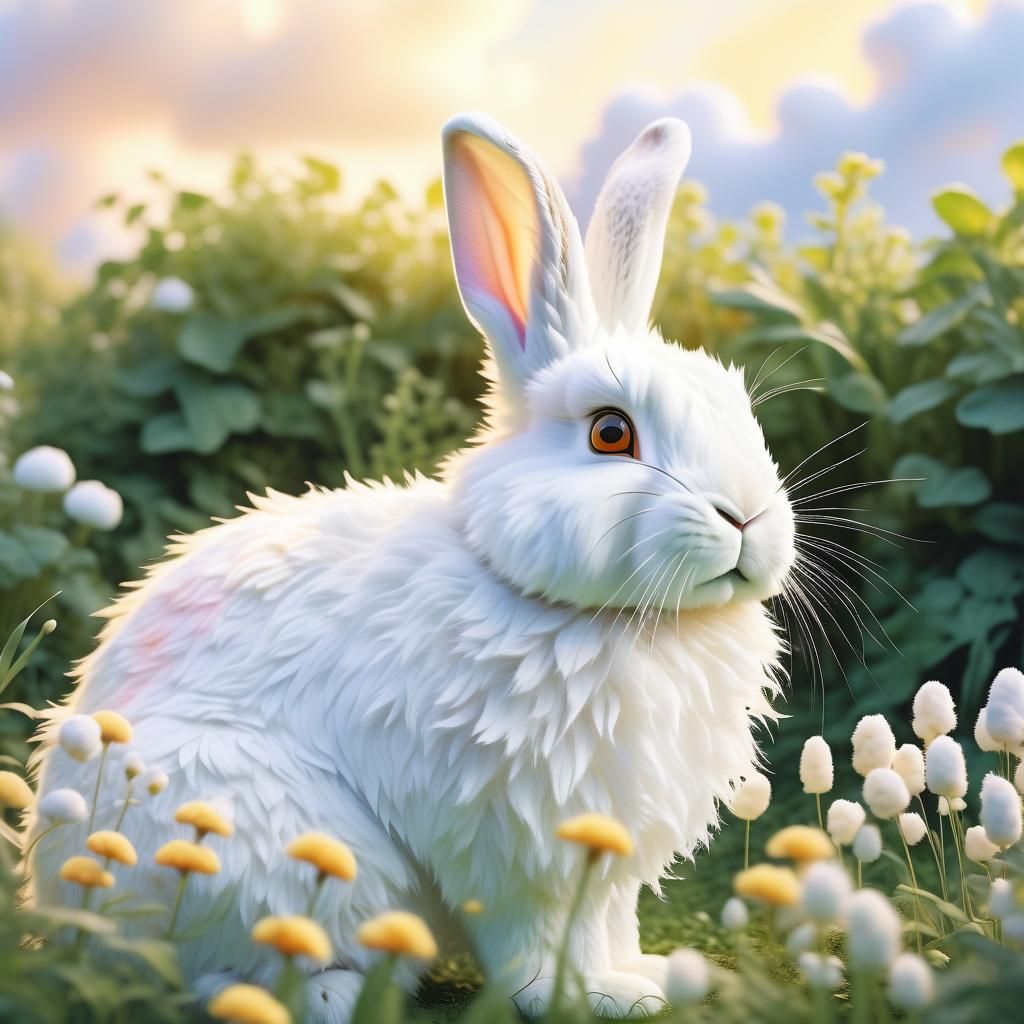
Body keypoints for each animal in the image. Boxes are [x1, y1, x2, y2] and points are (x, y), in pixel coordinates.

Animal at [27, 112, 796, 1021]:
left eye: (742, 413)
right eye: (611, 433)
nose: (747, 518)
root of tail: (57, 895)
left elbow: (608, 922)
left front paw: (639, 976)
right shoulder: (515, 840)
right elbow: (542, 936)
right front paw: (584, 995)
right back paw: (332, 993)